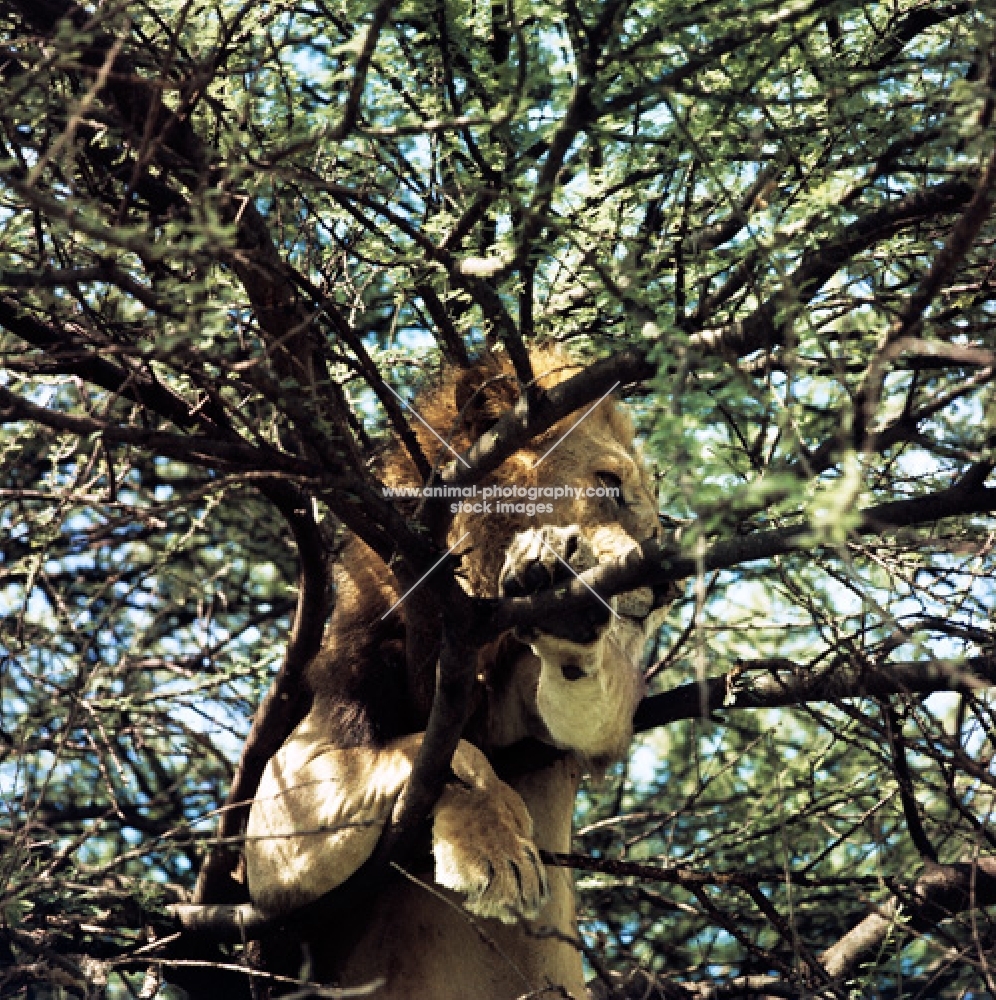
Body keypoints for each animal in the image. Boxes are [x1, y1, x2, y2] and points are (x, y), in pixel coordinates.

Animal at [245, 346, 672, 1000]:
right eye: (608, 483)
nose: (666, 586)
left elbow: (585, 708)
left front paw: (563, 606)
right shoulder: (277, 829)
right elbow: (449, 752)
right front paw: (497, 852)